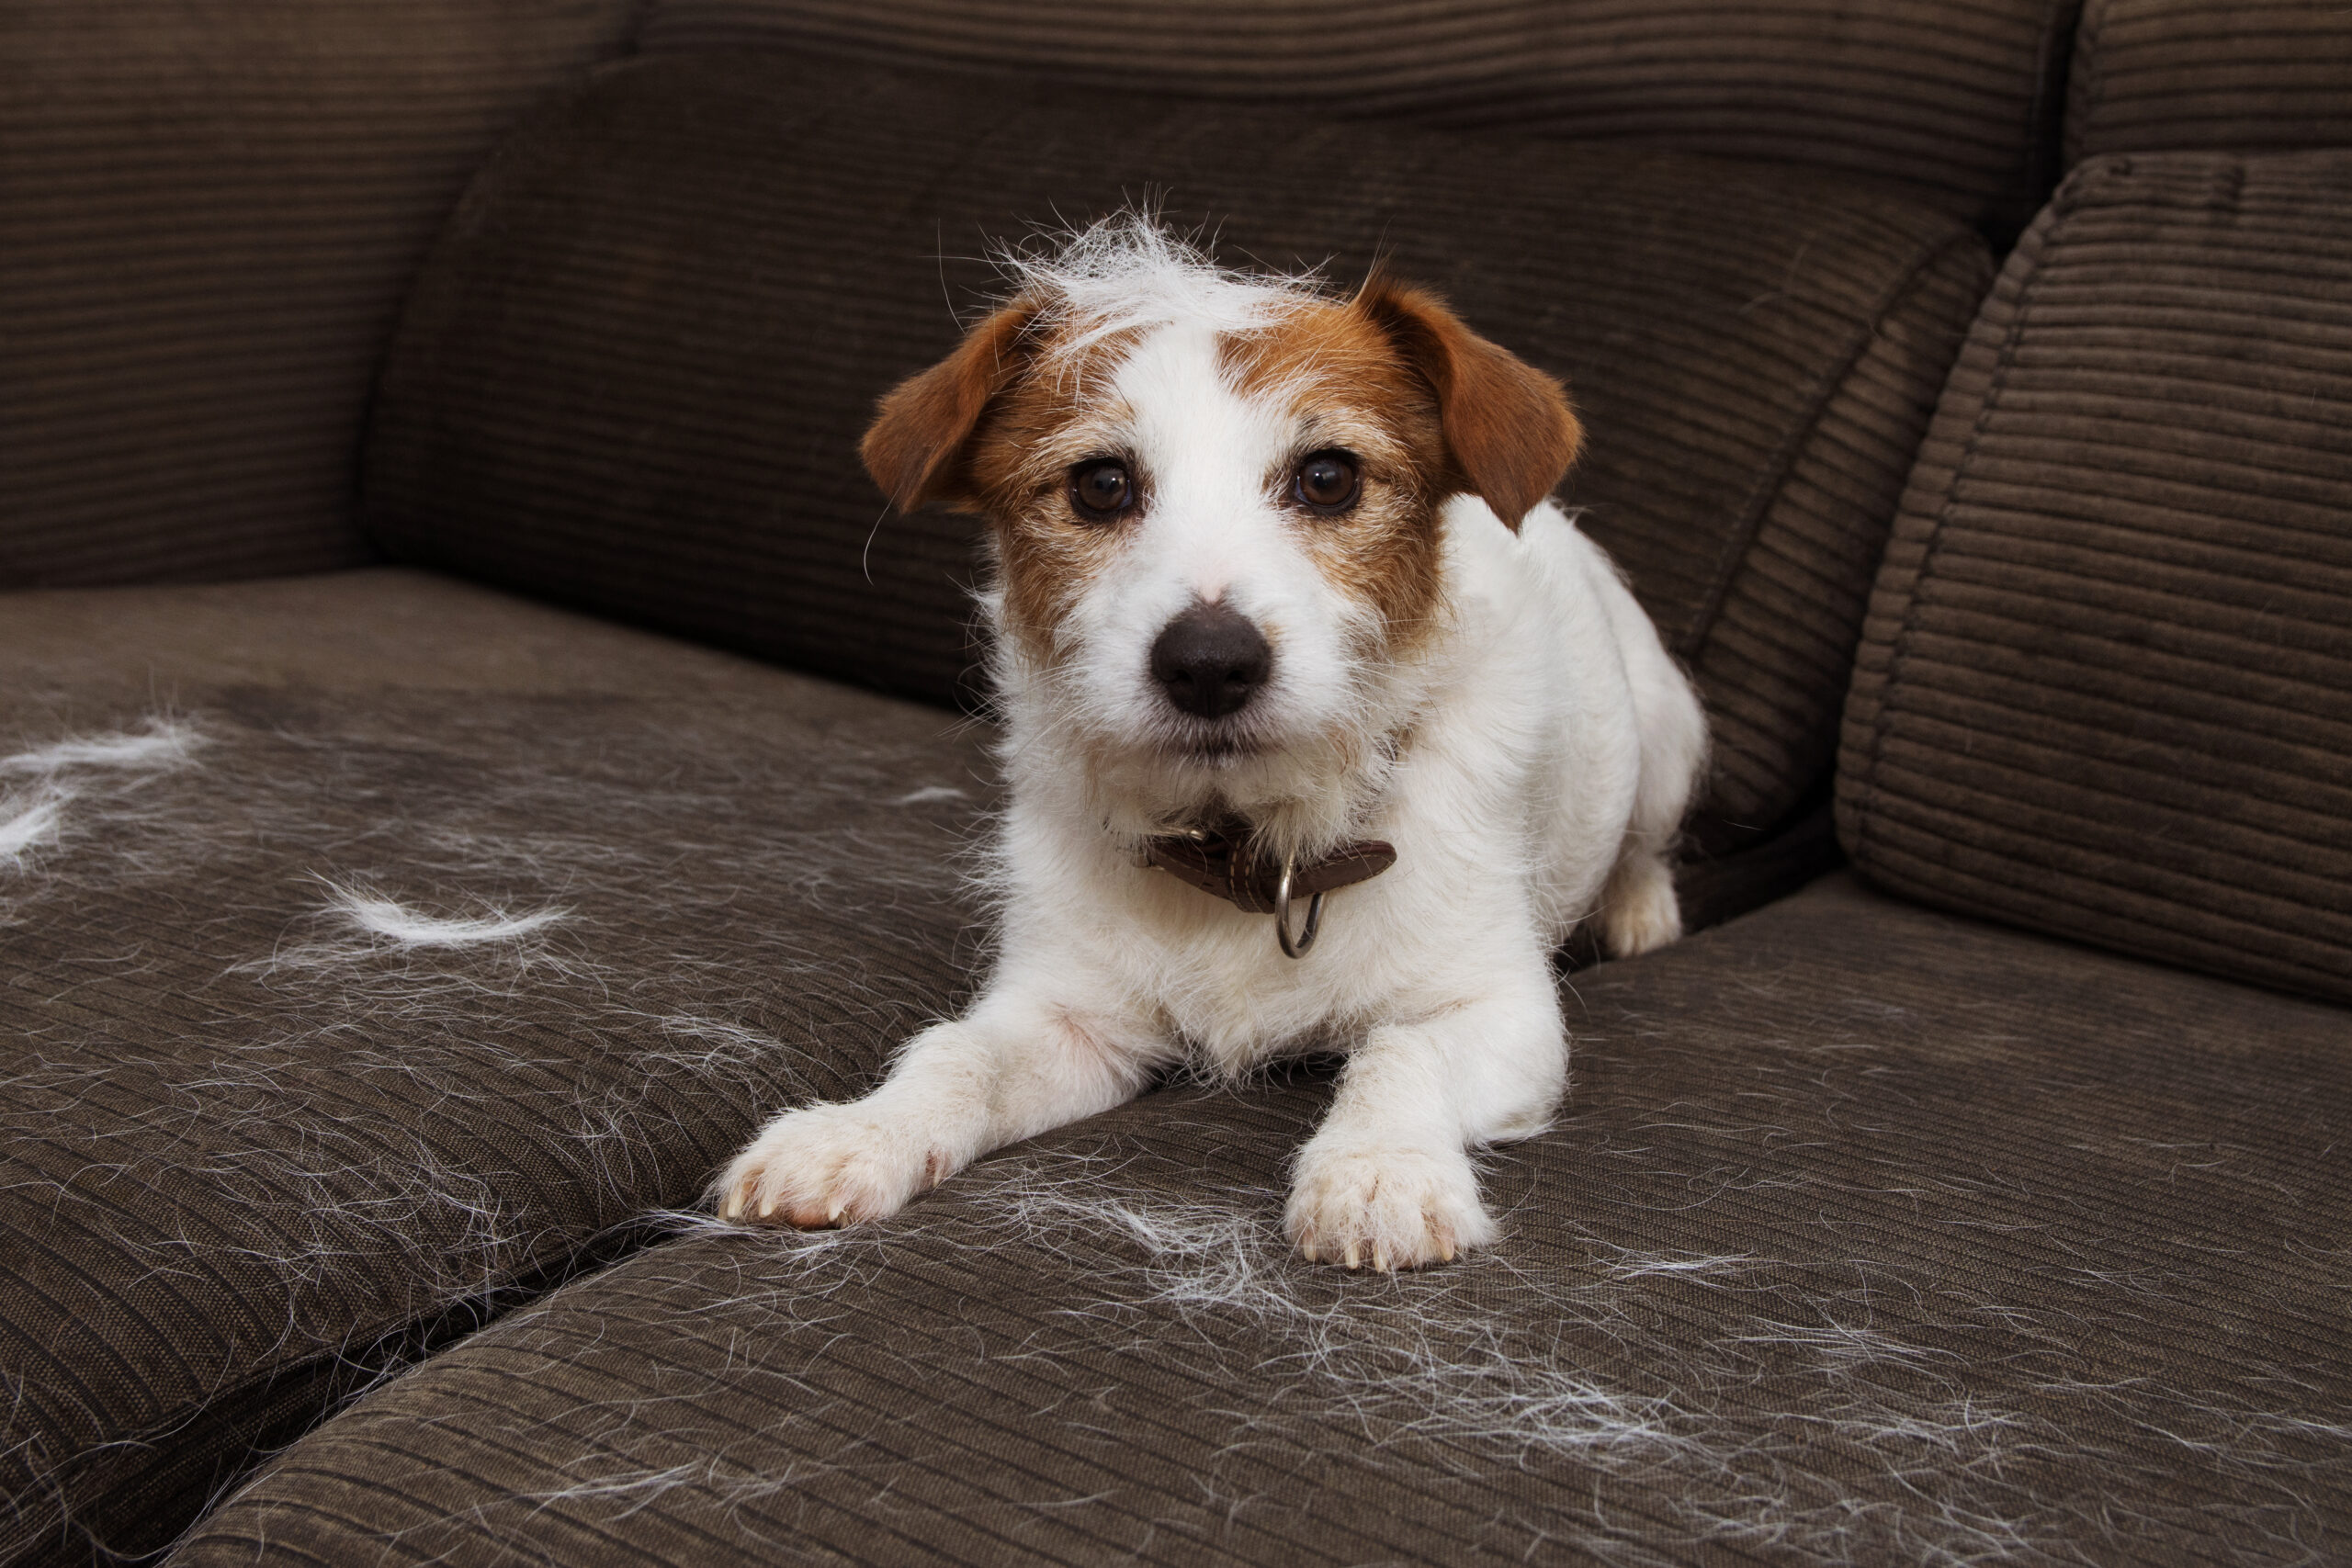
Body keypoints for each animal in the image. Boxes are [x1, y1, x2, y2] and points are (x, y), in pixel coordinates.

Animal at [715, 217, 1712, 1279]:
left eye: (1328, 477)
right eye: (1101, 484)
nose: (1207, 663)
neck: (1248, 845)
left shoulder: (1499, 1013)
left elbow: (1403, 1053)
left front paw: (1378, 1170)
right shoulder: (1069, 1019)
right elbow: (957, 1053)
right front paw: (857, 1133)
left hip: (1665, 733)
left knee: (1646, 839)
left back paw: (1639, 910)